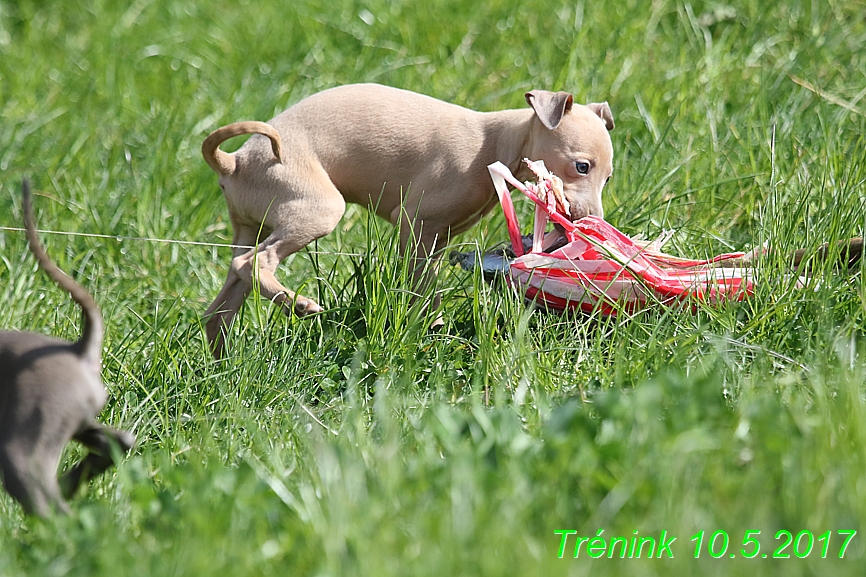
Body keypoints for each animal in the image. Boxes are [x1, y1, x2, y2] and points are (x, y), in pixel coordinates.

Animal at [0, 180, 133, 512]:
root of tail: (78, 350)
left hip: (25, 440)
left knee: (57, 511)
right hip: (72, 420)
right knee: (121, 441)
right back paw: (70, 484)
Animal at [201, 84, 616, 358]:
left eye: (608, 177)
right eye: (582, 166)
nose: (593, 224)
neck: (496, 143)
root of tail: (234, 161)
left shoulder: (439, 237)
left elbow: (427, 280)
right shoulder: (417, 223)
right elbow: (419, 284)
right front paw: (425, 326)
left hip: (251, 226)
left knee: (226, 293)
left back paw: (223, 363)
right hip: (317, 208)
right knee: (252, 262)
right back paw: (298, 304)